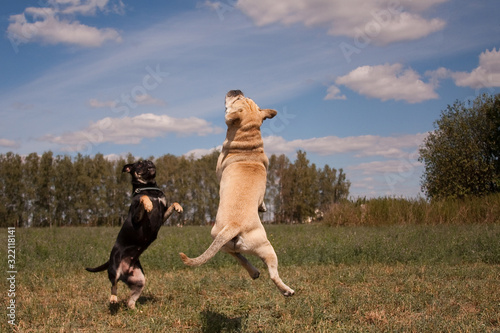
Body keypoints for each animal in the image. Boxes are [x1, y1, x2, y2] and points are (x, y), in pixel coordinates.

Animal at [87, 160, 183, 308]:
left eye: (149, 161)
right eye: (139, 164)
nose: (149, 163)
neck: (149, 188)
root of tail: (124, 272)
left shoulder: (162, 216)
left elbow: (172, 203)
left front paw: (178, 206)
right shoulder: (136, 218)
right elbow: (143, 197)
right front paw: (148, 204)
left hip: (139, 280)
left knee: (130, 300)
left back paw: (134, 309)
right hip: (114, 268)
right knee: (113, 285)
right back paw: (113, 298)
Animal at [180, 90, 294, 296]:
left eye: (238, 99)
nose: (237, 90)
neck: (247, 139)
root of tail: (234, 225)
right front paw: (263, 206)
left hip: (226, 242)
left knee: (247, 260)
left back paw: (276, 284)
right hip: (257, 247)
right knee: (259, 265)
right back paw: (274, 283)